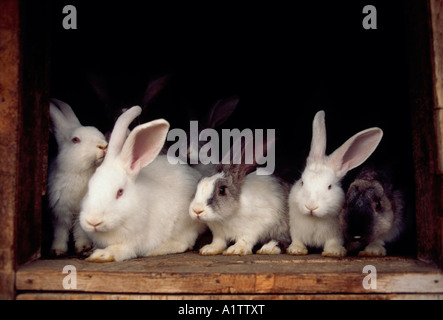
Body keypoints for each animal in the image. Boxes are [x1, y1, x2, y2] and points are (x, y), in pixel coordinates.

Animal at [48, 99, 108, 256]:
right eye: (75, 140)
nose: (103, 146)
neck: (80, 172)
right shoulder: (59, 211)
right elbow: (60, 232)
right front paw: (57, 250)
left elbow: (81, 231)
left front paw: (83, 247)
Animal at [80, 106, 206, 262]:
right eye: (89, 189)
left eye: (120, 192)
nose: (93, 221)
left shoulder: (132, 242)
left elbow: (121, 251)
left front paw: (101, 255)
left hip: (185, 224)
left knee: (184, 243)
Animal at [288, 111, 386, 256]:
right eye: (302, 182)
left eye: (329, 186)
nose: (311, 206)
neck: (314, 218)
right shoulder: (296, 230)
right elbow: (297, 239)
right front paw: (295, 249)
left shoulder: (335, 234)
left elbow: (333, 242)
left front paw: (334, 252)